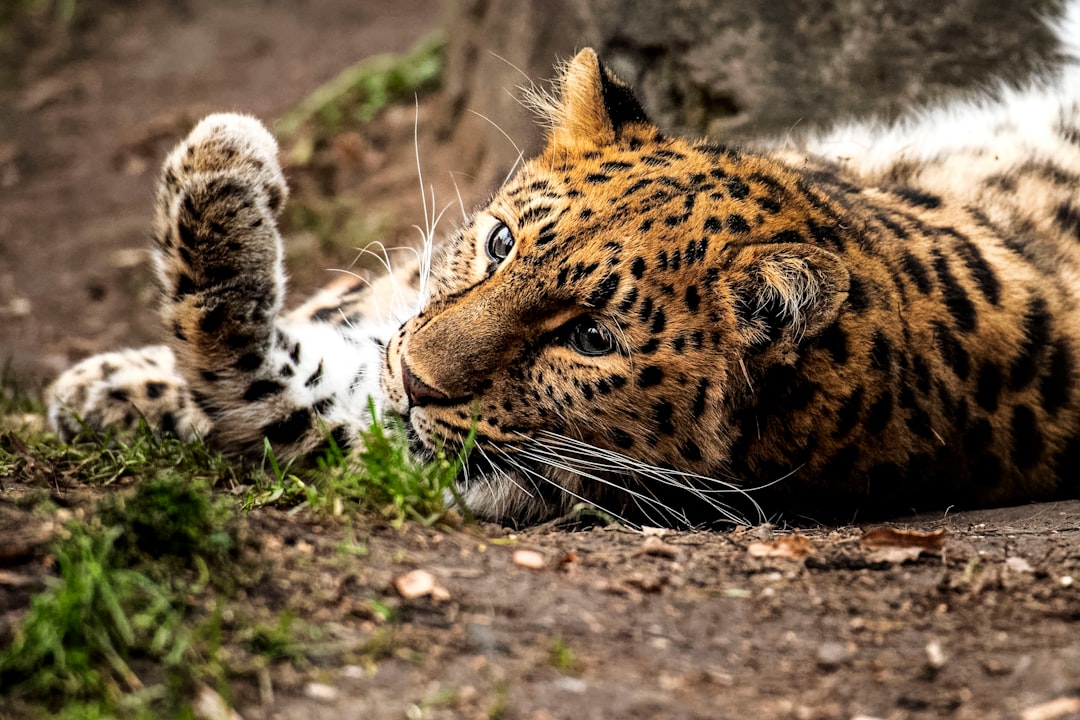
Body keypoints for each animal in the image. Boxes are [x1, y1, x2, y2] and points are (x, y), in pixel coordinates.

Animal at [46, 7, 1080, 528]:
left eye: (589, 339)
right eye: (502, 244)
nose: (416, 381)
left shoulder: (446, 459)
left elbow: (253, 377)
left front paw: (224, 165)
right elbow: (343, 318)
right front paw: (101, 383)